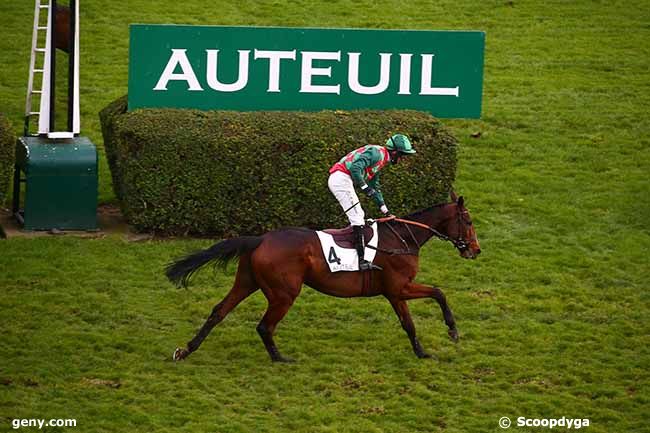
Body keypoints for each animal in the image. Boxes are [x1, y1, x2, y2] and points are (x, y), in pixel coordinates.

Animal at [166, 192, 480, 362]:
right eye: (468, 221)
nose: (475, 249)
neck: (403, 237)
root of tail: (260, 239)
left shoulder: (396, 291)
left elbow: (419, 312)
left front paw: (429, 347)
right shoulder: (398, 288)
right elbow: (432, 299)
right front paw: (446, 335)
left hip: (247, 281)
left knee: (219, 311)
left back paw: (186, 350)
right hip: (283, 293)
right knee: (264, 326)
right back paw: (280, 358)